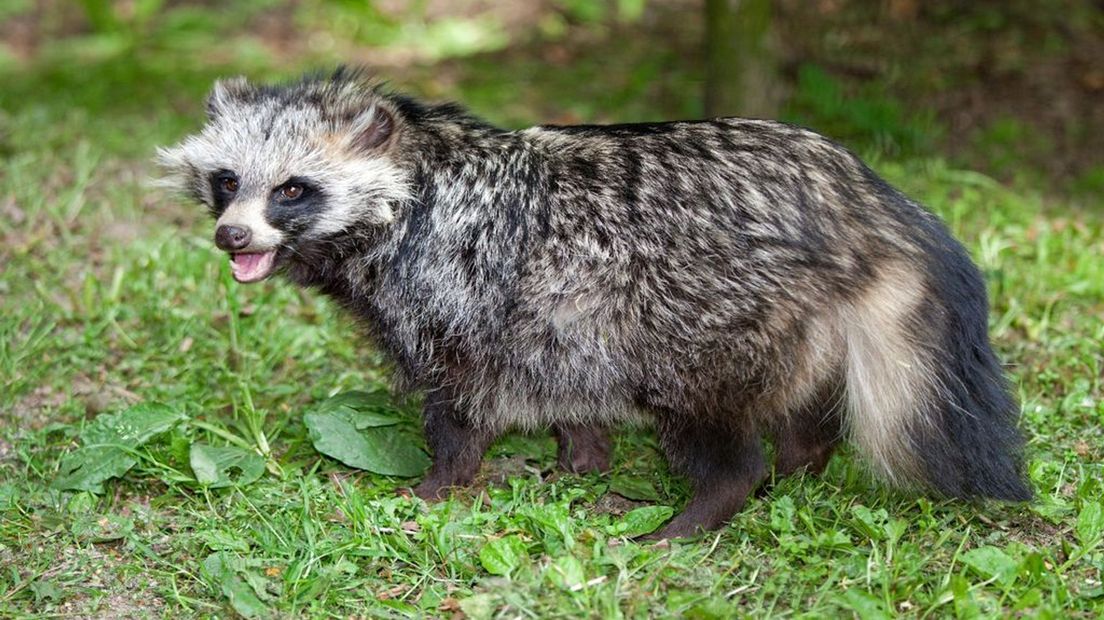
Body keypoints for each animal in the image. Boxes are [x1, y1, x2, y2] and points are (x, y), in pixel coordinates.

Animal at [160, 70, 1028, 538]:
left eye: (293, 190)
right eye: (228, 181)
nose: (232, 236)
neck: (413, 174)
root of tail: (860, 199)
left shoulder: (456, 289)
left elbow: (462, 398)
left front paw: (440, 481)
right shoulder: (552, 312)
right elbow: (566, 382)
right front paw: (577, 456)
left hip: (707, 311)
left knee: (707, 417)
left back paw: (709, 503)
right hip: (790, 319)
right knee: (802, 403)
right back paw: (799, 462)